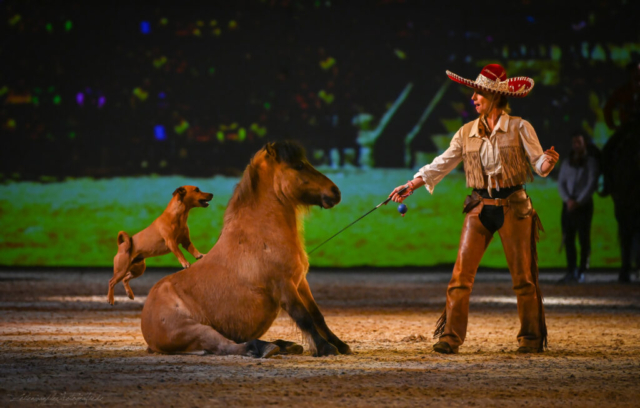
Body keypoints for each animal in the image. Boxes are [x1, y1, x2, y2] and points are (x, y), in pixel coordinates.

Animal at [141, 141, 350, 356]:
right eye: (299, 165)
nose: (335, 192)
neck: (262, 237)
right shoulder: (284, 286)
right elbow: (303, 317)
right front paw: (326, 347)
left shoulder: (300, 283)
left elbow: (317, 315)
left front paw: (340, 345)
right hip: (197, 330)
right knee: (228, 345)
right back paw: (266, 348)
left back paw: (286, 345)